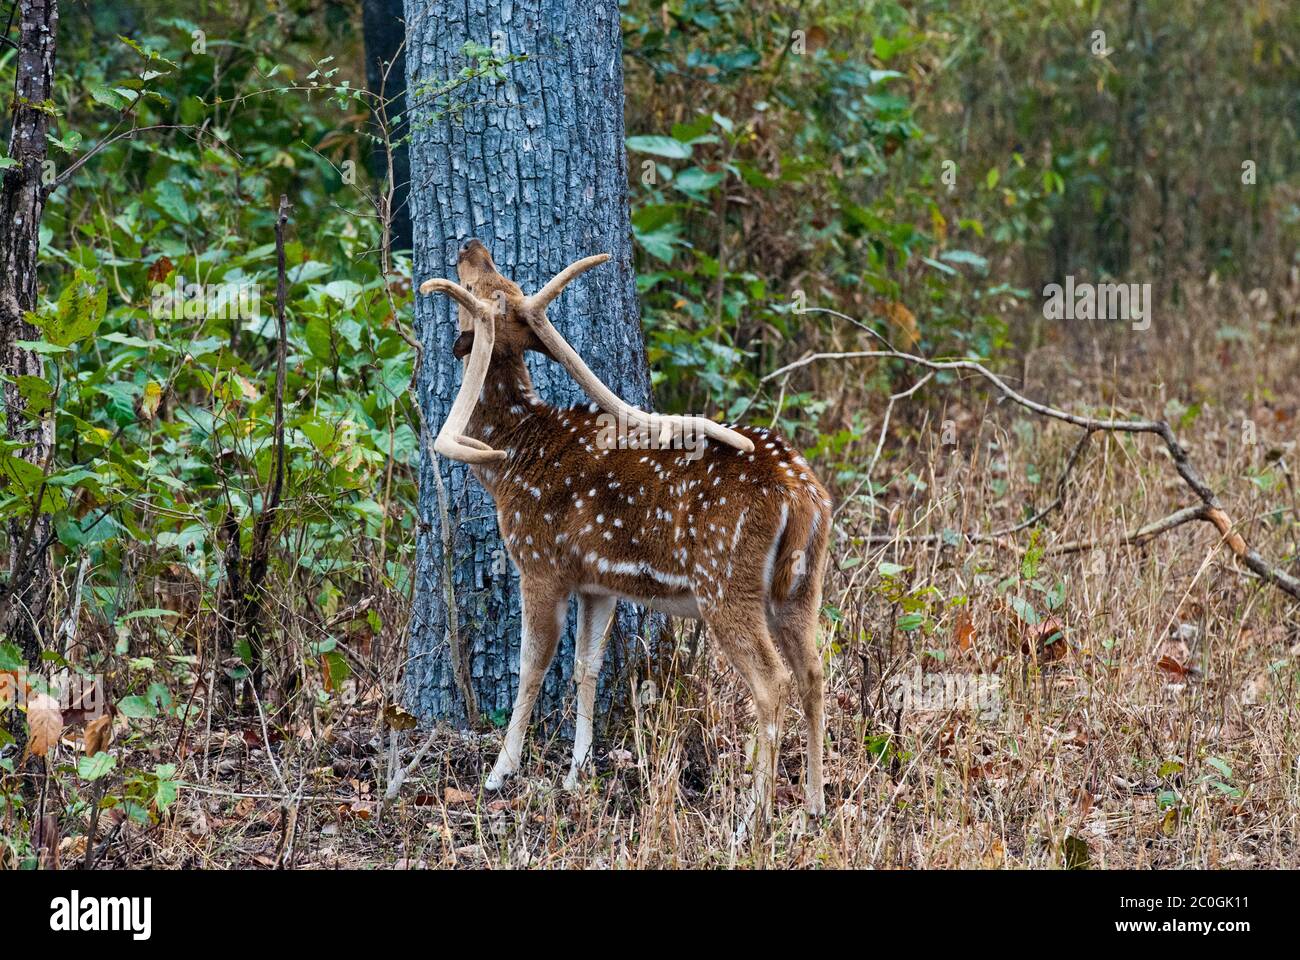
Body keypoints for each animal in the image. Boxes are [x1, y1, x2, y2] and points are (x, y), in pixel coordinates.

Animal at [423, 239, 832, 822]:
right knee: (815, 673)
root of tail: (802, 496)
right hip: (802, 585)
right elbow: (585, 667)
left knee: (772, 681)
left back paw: (751, 816)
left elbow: (532, 665)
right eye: (500, 279)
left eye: (479, 290)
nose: (470, 246)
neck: (511, 459)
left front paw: (500, 773)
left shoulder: (540, 563)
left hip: (725, 582)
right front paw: (576, 774)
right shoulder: (598, 583)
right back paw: (815, 801)